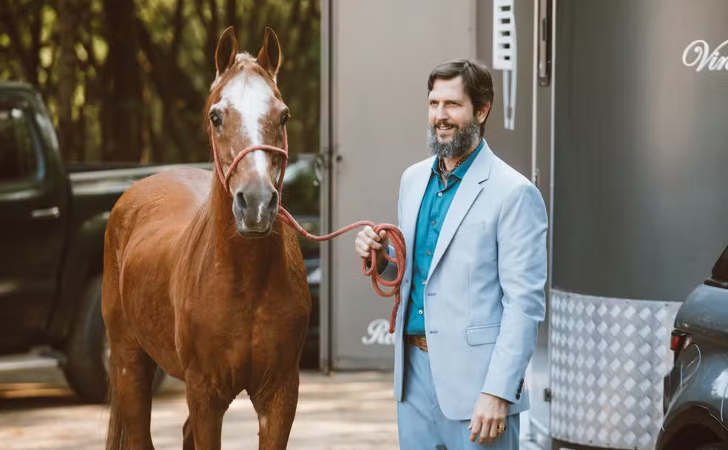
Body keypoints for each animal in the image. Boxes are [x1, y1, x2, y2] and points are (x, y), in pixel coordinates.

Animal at [102, 26, 311, 450]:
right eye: (216, 116)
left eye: (283, 115)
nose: (256, 203)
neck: (245, 283)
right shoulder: (204, 395)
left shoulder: (280, 395)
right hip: (129, 363)